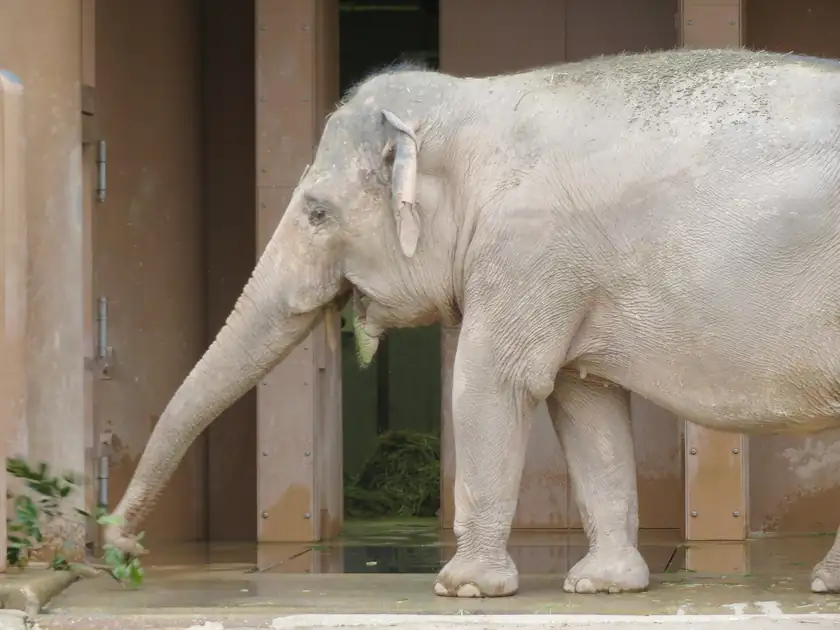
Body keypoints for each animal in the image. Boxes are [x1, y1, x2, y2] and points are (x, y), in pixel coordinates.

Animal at [104, 47, 840, 599]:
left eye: (316, 212)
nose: (122, 544)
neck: (473, 104)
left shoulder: (528, 248)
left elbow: (493, 382)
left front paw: (463, 588)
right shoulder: (566, 273)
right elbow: (584, 404)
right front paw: (602, 586)